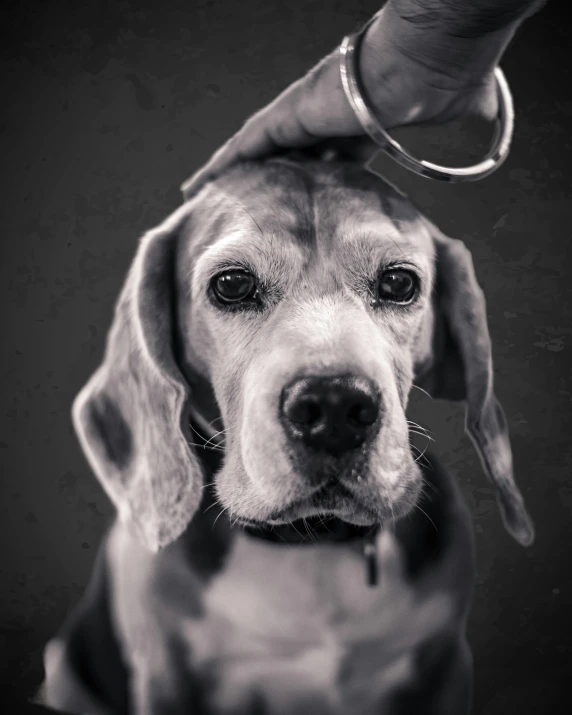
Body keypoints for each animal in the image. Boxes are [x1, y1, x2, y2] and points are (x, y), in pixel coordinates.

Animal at [42, 158, 536, 715]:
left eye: (398, 282)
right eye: (233, 284)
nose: (336, 407)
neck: (309, 545)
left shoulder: (444, 668)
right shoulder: (166, 680)